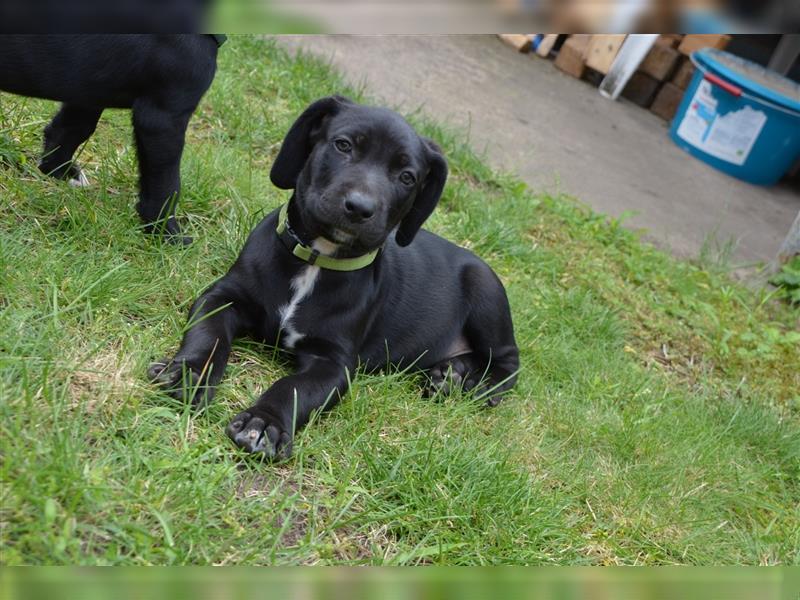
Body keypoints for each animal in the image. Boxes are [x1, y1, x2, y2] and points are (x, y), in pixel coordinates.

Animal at [149, 96, 520, 458]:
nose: (359, 207)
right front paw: (187, 375)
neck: (317, 260)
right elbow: (208, 335)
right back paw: (451, 373)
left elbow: (294, 388)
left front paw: (264, 422)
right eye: (344, 145)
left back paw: (477, 385)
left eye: (407, 177)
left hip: (486, 289)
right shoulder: (223, 297)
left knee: (508, 361)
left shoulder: (333, 362)